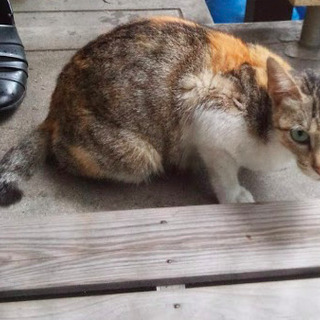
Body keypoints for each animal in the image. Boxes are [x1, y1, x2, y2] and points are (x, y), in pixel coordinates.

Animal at [0, 16, 320, 205]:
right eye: (300, 134)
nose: (318, 167)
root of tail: (56, 104)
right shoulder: (208, 115)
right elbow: (223, 170)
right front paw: (233, 194)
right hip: (137, 156)